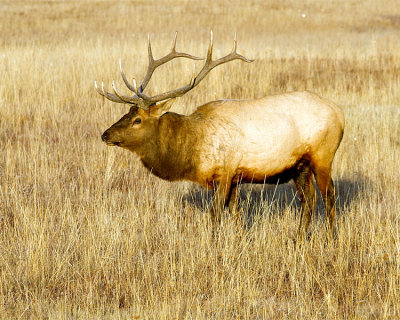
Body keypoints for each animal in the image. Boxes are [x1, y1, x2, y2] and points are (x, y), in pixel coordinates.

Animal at [95, 31, 346, 238]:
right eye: (126, 113)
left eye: (137, 120)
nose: (105, 135)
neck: (193, 147)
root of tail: (340, 114)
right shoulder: (234, 178)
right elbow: (236, 214)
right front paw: (241, 240)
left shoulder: (225, 172)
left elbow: (215, 215)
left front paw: (214, 246)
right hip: (299, 166)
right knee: (309, 199)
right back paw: (299, 239)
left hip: (323, 156)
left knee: (329, 195)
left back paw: (330, 239)